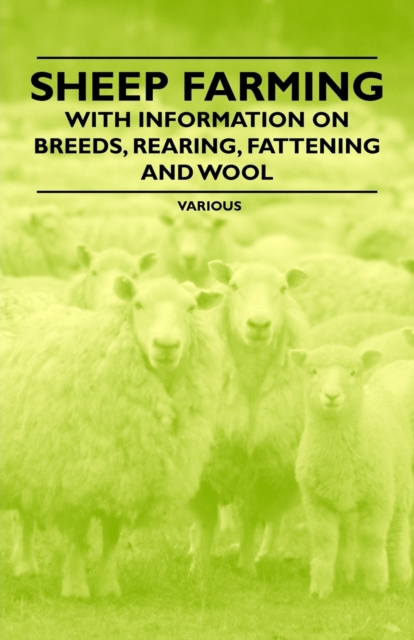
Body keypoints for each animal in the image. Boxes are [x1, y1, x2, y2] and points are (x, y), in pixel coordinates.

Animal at [1, 276, 224, 597]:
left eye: (191, 308)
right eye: (138, 305)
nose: (166, 345)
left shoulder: (123, 475)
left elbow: (111, 535)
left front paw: (107, 586)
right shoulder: (78, 474)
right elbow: (78, 534)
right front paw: (76, 588)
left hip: (29, 459)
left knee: (25, 513)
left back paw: (25, 566)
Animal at [190, 260, 310, 574]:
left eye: (283, 289)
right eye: (234, 287)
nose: (258, 324)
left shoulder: (263, 470)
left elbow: (249, 520)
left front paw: (246, 567)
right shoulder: (205, 466)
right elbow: (206, 520)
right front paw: (199, 567)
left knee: (274, 519)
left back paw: (266, 554)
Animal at [291, 345, 413, 597]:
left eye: (353, 373)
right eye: (313, 371)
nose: (331, 396)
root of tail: (376, 387)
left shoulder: (378, 497)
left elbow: (372, 537)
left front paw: (377, 584)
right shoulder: (316, 500)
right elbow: (325, 540)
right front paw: (320, 589)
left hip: (400, 485)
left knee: (397, 530)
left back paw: (401, 576)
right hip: (343, 498)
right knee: (346, 533)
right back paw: (344, 576)